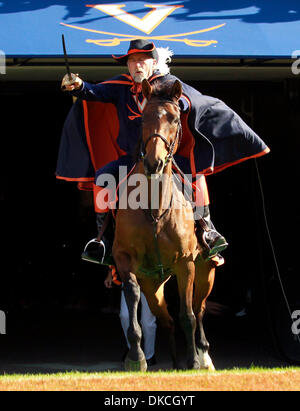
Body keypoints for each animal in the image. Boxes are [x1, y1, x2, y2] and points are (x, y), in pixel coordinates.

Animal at [112, 79, 216, 372]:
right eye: (143, 118)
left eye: (174, 118)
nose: (154, 162)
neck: (155, 210)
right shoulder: (125, 259)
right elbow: (132, 294)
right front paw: (135, 357)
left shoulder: (186, 263)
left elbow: (188, 314)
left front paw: (193, 361)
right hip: (154, 286)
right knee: (166, 319)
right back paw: (174, 361)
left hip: (206, 272)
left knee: (198, 309)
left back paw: (203, 356)